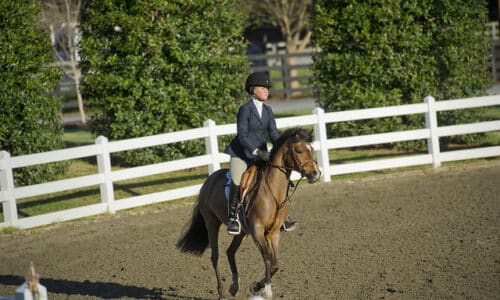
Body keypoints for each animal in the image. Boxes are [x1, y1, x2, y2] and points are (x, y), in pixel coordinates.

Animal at [176, 127, 320, 300]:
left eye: (312, 149)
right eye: (298, 150)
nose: (315, 174)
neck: (272, 191)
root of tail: (208, 181)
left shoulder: (273, 233)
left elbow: (275, 264)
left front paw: (257, 286)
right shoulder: (257, 230)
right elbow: (267, 257)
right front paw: (266, 290)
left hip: (242, 231)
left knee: (230, 252)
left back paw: (234, 287)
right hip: (212, 223)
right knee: (215, 256)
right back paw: (221, 292)